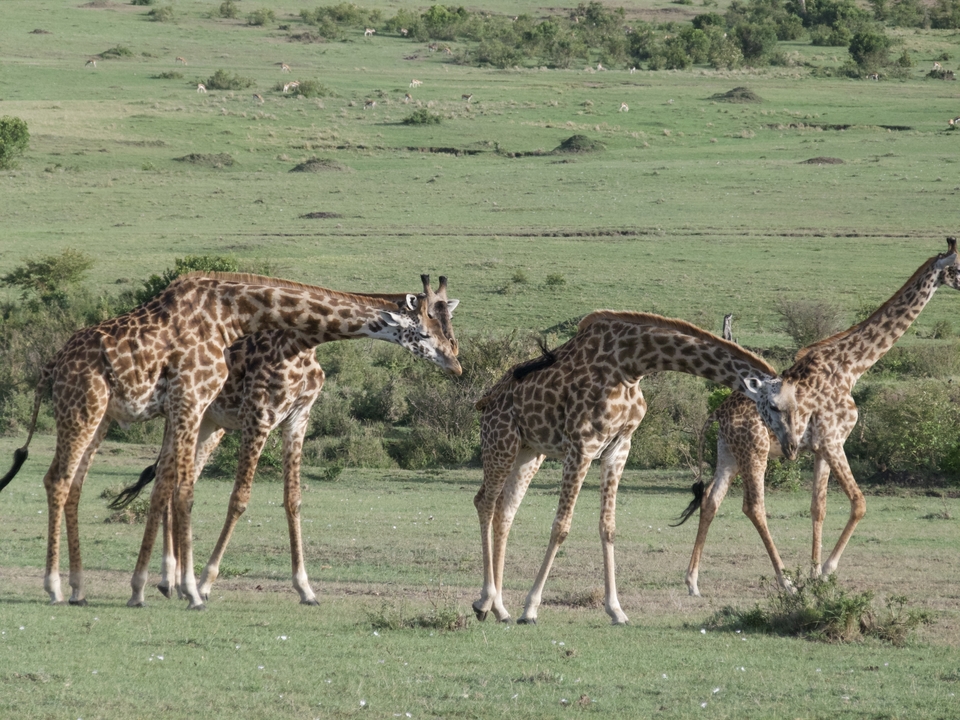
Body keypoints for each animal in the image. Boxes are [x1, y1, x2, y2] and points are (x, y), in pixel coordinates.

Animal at [110, 328, 326, 605]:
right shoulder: (258, 418)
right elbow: (239, 500)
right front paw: (205, 583)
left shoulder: (298, 419)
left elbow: (293, 500)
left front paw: (305, 589)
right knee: (166, 486)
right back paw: (169, 580)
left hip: (210, 425)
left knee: (175, 487)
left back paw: (176, 583)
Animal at [470, 311, 804, 625]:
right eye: (775, 406)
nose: (791, 446)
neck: (631, 365)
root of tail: (485, 401)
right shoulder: (581, 447)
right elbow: (561, 526)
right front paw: (530, 609)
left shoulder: (618, 448)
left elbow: (608, 527)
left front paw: (616, 610)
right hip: (501, 441)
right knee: (484, 501)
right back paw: (485, 602)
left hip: (529, 451)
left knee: (505, 510)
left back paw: (500, 608)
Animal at [678, 238, 960, 597]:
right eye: (959, 268)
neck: (851, 367)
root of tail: (717, 413)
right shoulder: (833, 440)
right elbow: (859, 502)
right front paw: (825, 571)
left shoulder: (821, 448)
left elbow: (818, 507)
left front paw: (813, 573)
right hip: (755, 451)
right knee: (753, 506)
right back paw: (784, 581)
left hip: (728, 452)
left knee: (711, 500)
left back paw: (693, 581)